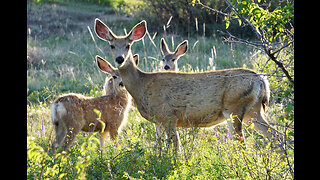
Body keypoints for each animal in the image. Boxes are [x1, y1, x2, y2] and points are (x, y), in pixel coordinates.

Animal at [94, 18, 282, 153]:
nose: (120, 59)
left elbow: (176, 150)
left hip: (235, 107)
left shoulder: (168, 116)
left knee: (243, 143)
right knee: (277, 137)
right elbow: (160, 148)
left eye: (128, 45)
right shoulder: (158, 121)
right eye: (111, 45)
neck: (141, 84)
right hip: (253, 112)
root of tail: (261, 80)